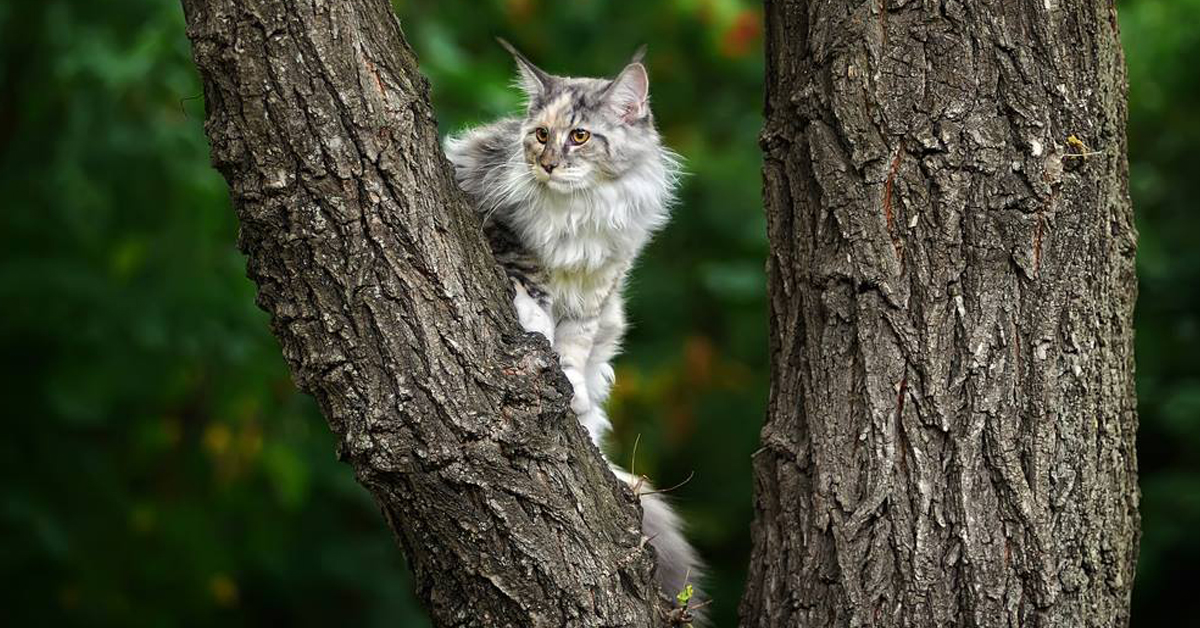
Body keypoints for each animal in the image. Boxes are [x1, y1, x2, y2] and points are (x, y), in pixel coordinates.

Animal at [444, 40, 700, 619]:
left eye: (580, 136)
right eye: (540, 134)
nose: (548, 163)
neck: (581, 209)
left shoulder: (602, 285)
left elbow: (575, 344)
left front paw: (568, 379)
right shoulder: (500, 225)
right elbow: (532, 288)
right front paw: (535, 328)